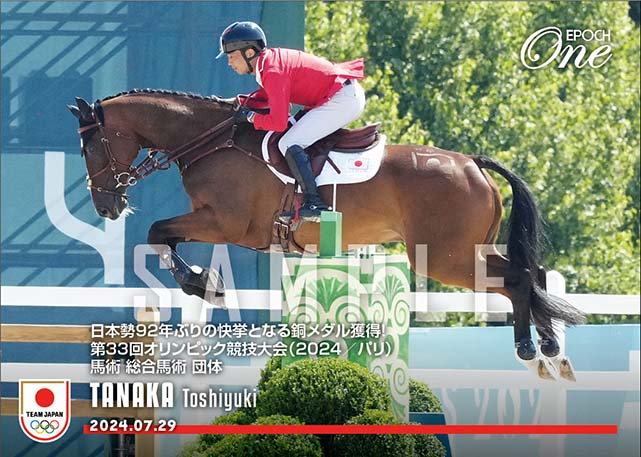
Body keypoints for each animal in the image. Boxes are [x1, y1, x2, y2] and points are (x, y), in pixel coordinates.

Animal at [68, 89, 584, 380]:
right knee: (531, 273)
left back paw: (531, 351)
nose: (107, 206)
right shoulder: (218, 223)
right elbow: (162, 237)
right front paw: (202, 280)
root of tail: (471, 162)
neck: (210, 140)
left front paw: (203, 283)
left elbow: (157, 233)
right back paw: (551, 352)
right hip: (465, 250)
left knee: (516, 280)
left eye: (90, 146)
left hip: (443, 257)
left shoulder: (226, 223)